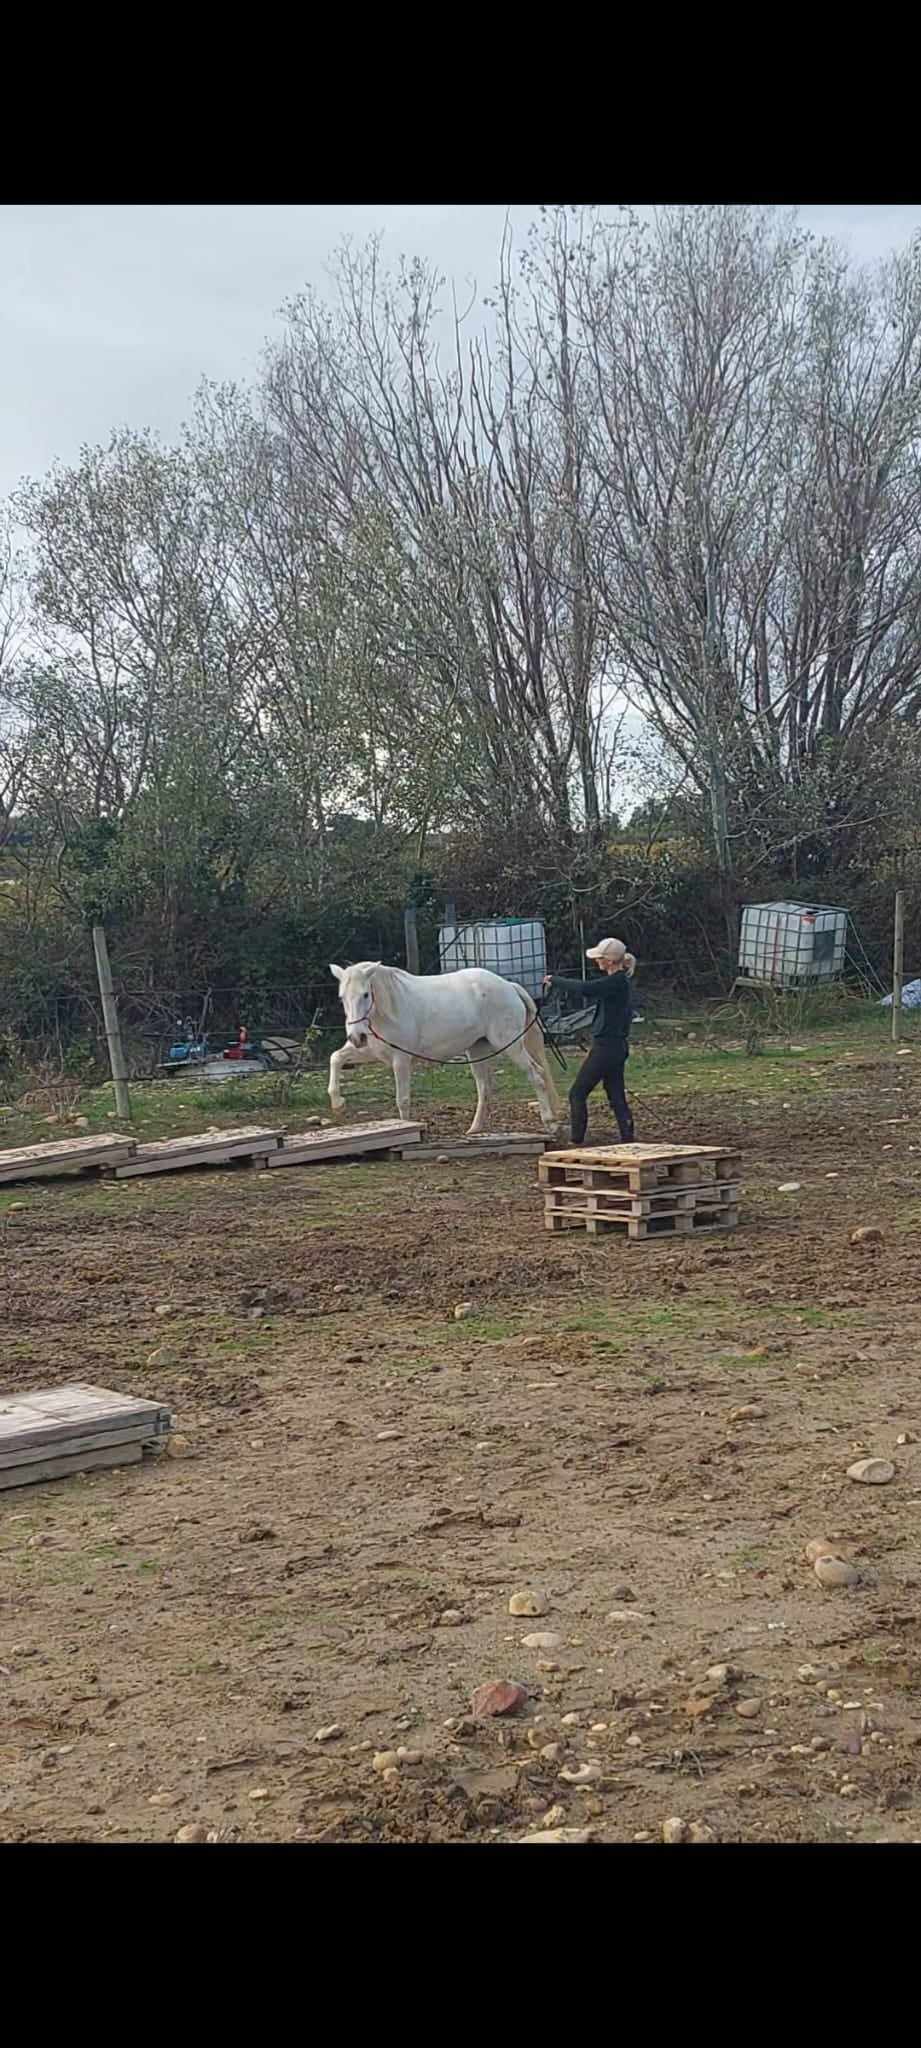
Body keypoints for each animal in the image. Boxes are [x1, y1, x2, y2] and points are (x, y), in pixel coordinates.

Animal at [329, 958, 560, 1138]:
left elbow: (402, 1100)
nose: (356, 1036)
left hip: (510, 1046)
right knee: (484, 1087)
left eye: (365, 995)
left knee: (536, 1075)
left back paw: (549, 1122)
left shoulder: (401, 1060)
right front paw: (338, 1103)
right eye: (341, 997)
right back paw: (474, 1129)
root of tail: (509, 986)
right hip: (477, 1050)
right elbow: (336, 1057)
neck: (387, 1011)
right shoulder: (369, 1052)